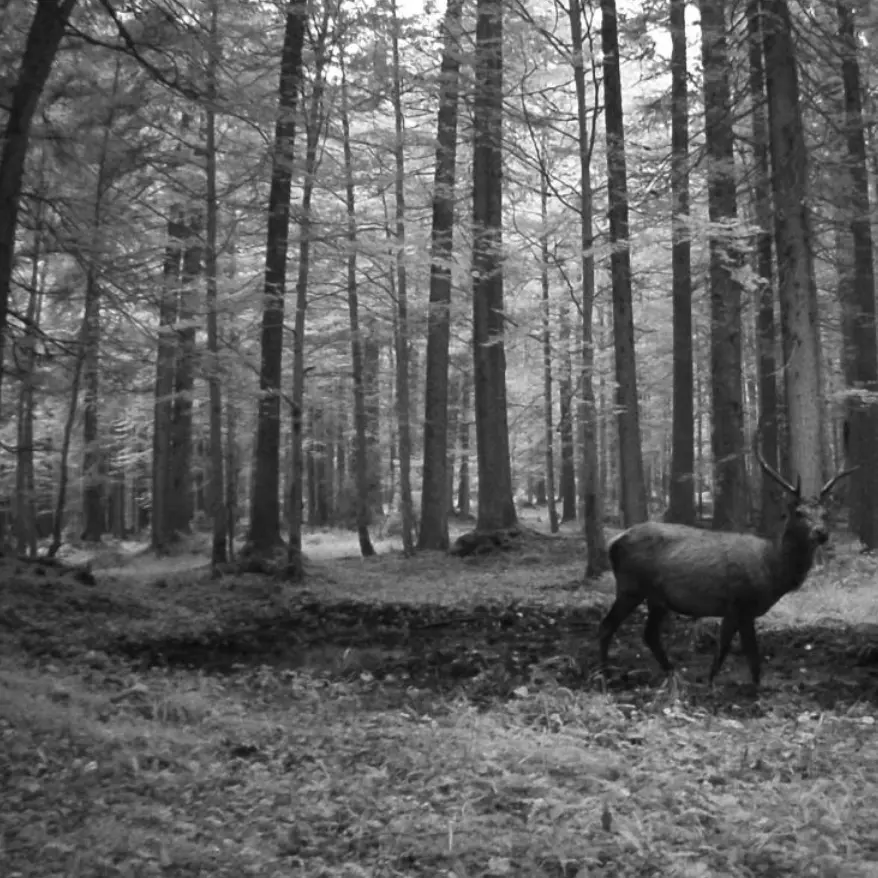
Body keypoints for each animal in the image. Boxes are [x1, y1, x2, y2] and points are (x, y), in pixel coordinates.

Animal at [597, 445, 855, 688]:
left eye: (825, 512)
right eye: (799, 512)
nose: (821, 533)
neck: (772, 570)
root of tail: (613, 542)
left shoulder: (736, 610)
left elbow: (731, 651)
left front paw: (716, 683)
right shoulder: (740, 603)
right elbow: (743, 654)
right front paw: (744, 689)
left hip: (657, 598)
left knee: (649, 634)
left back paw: (674, 676)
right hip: (631, 587)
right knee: (607, 626)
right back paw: (605, 676)